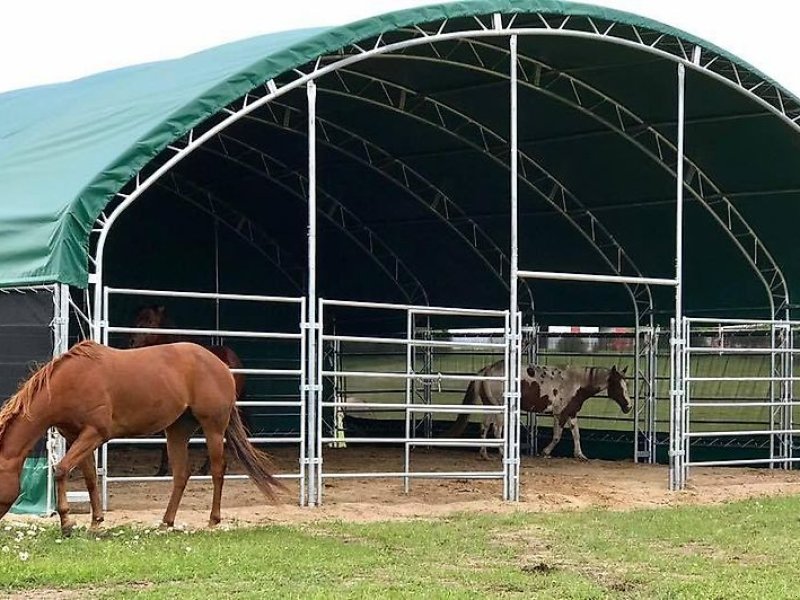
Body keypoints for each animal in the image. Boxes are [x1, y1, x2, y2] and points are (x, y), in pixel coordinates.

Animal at [446, 360, 628, 460]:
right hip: (500, 409)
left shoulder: (571, 413)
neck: (576, 381)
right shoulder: (560, 414)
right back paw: (503, 453)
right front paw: (545, 452)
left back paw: (484, 454)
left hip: (491, 406)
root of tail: (488, 369)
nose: (628, 406)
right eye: (619, 386)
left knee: (484, 427)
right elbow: (557, 436)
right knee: (497, 430)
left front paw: (580, 455)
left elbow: (576, 434)